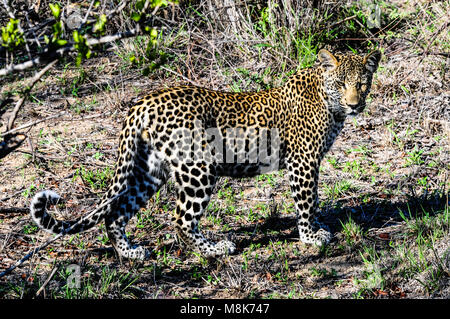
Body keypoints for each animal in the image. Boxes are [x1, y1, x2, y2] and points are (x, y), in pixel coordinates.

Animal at [29, 49, 380, 260]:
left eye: (363, 83)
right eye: (341, 83)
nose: (355, 104)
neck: (329, 103)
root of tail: (143, 102)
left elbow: (314, 200)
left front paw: (319, 227)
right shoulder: (303, 161)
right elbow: (307, 201)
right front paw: (310, 236)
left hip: (148, 170)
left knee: (116, 213)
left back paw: (131, 253)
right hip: (197, 168)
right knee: (181, 219)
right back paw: (215, 249)